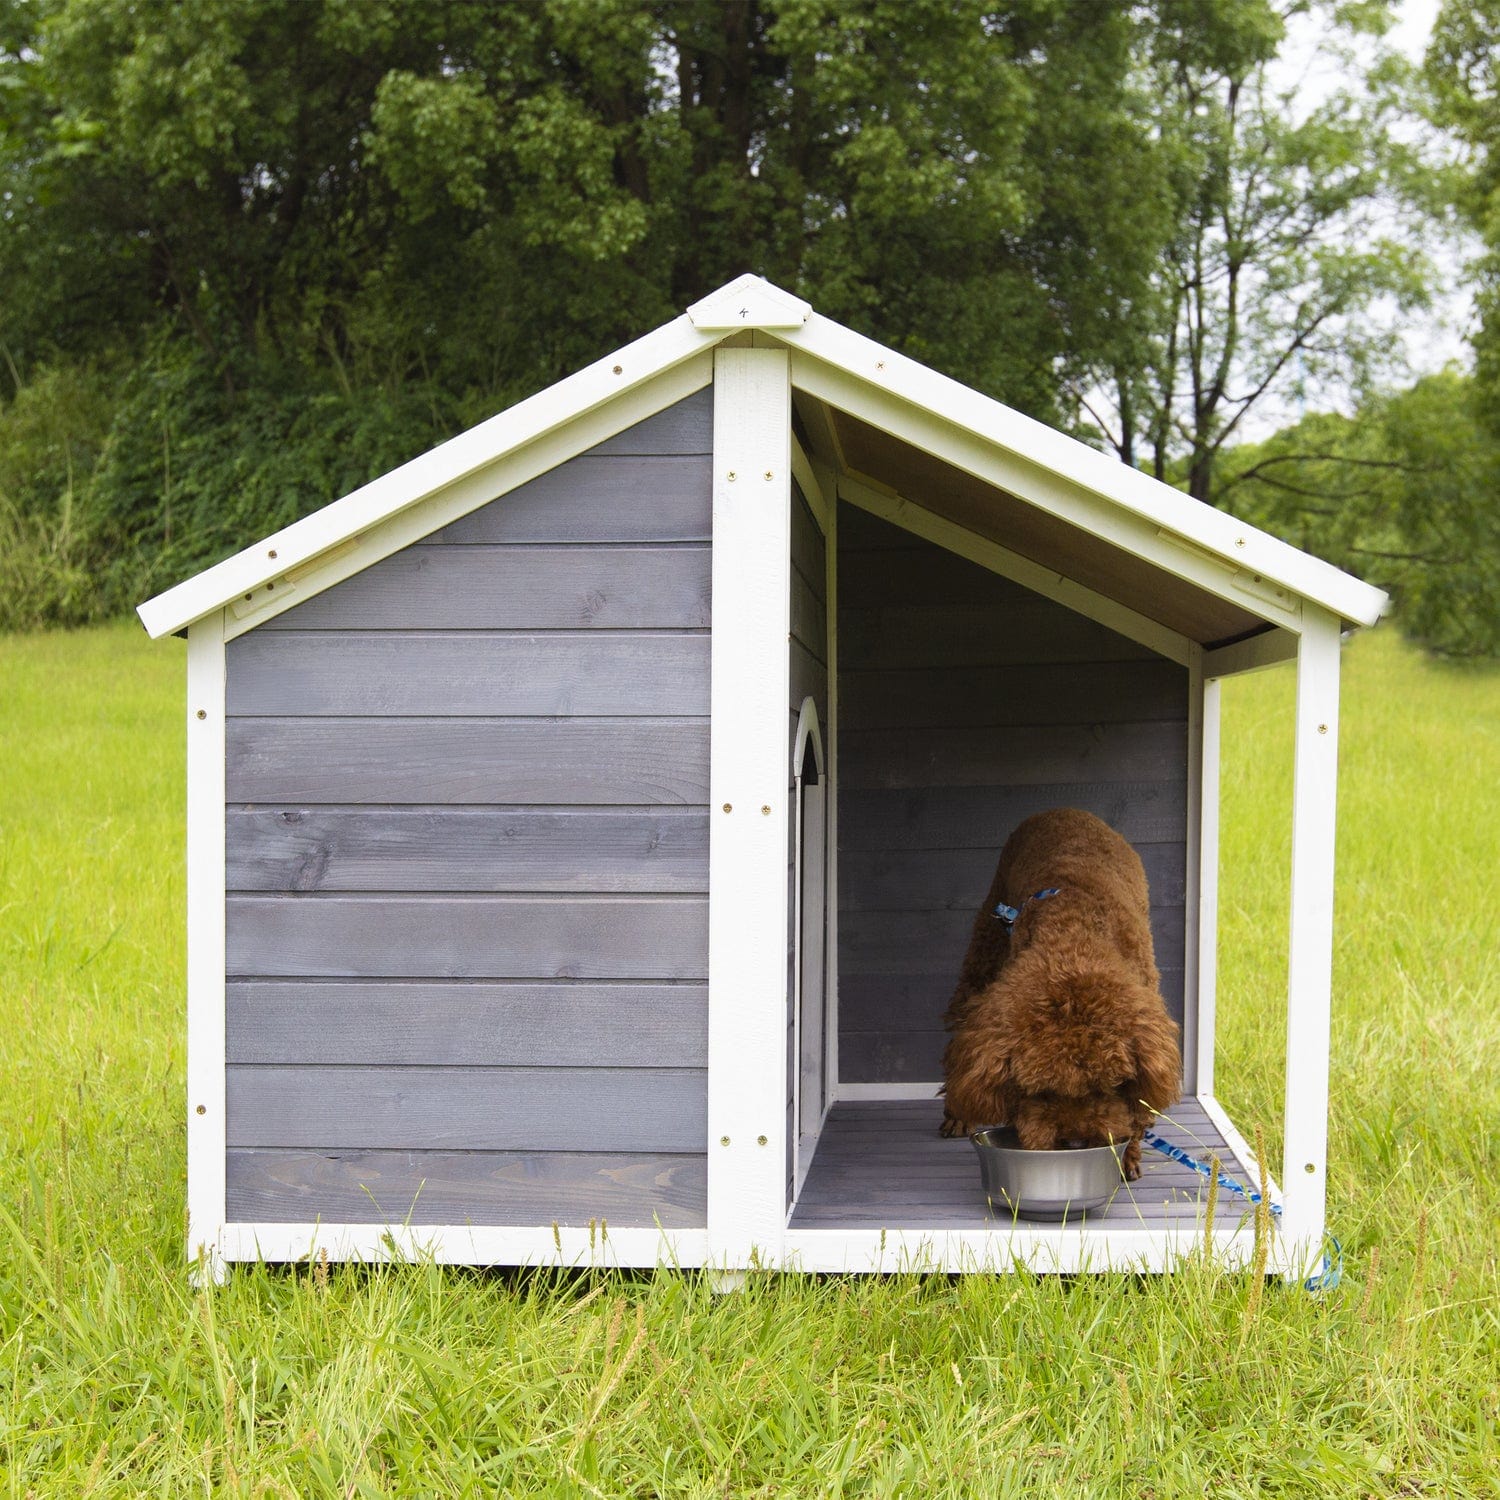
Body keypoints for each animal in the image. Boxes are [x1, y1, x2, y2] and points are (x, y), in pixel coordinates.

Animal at [936, 810, 1182, 1182]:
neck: (1073, 937)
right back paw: (957, 1112)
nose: (1076, 1143)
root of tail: (1064, 811)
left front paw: (1128, 1156)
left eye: (1106, 1086)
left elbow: (1134, 1109)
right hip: (987, 944)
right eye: (1042, 1092)